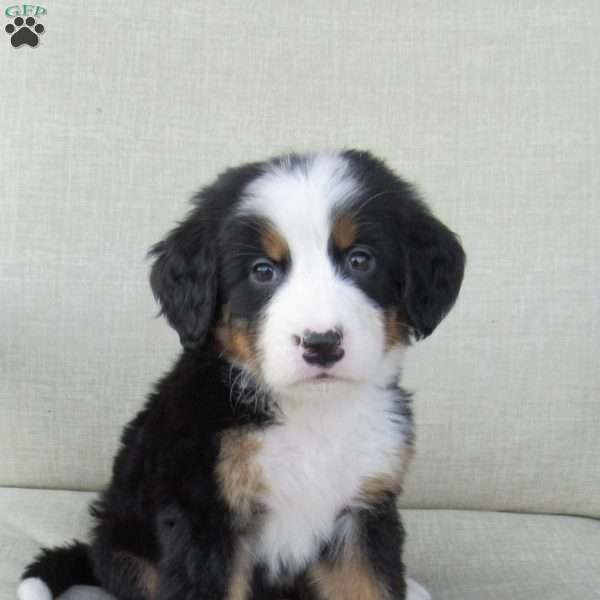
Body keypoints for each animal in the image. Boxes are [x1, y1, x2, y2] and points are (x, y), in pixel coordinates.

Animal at [18, 151, 466, 600]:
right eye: (262, 271)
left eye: (360, 260)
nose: (321, 343)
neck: (311, 413)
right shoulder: (206, 518)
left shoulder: (363, 510)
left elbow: (372, 585)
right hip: (128, 548)